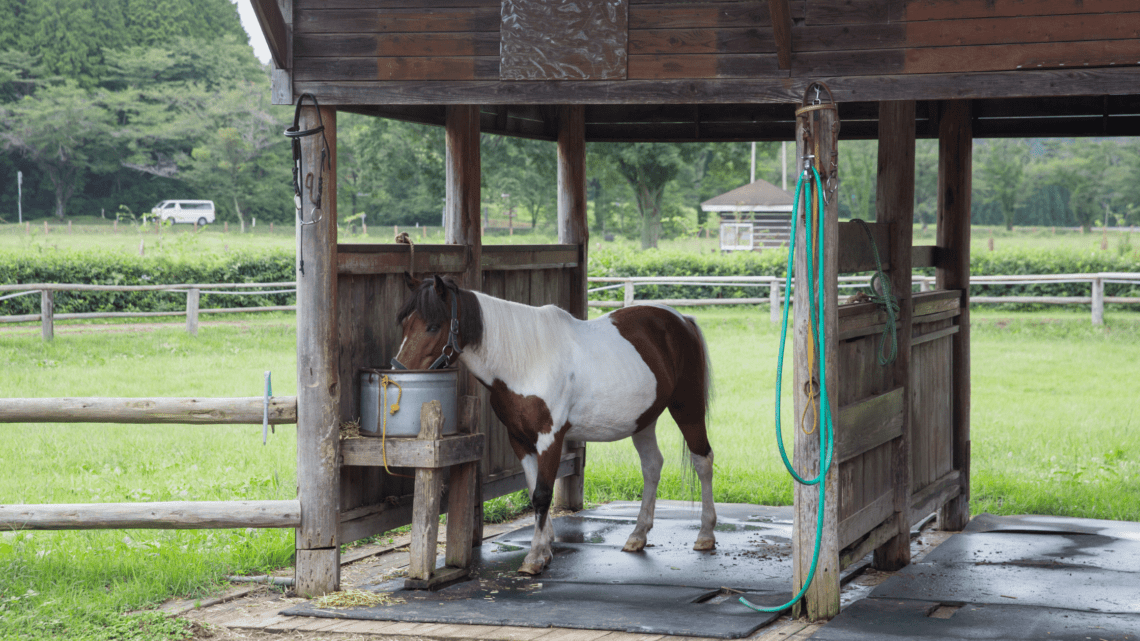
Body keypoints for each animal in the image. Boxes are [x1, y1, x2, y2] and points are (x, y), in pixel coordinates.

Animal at [392, 273, 711, 574]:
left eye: (433, 326)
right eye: (404, 323)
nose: (399, 375)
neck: (527, 362)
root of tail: (682, 320)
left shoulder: (550, 438)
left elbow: (543, 494)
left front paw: (534, 558)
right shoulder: (519, 439)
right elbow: (534, 491)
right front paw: (544, 549)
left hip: (688, 409)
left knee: (703, 460)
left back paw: (706, 535)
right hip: (643, 420)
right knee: (652, 466)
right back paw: (638, 535)